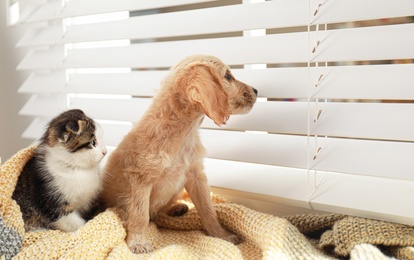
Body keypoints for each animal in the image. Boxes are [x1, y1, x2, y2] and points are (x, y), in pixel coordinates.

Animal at [102, 54, 258, 252]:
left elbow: (208, 209)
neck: (183, 134)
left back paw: (175, 209)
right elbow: (140, 215)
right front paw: (138, 242)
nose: (256, 90)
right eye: (228, 76)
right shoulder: (140, 180)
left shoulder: (196, 175)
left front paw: (221, 235)